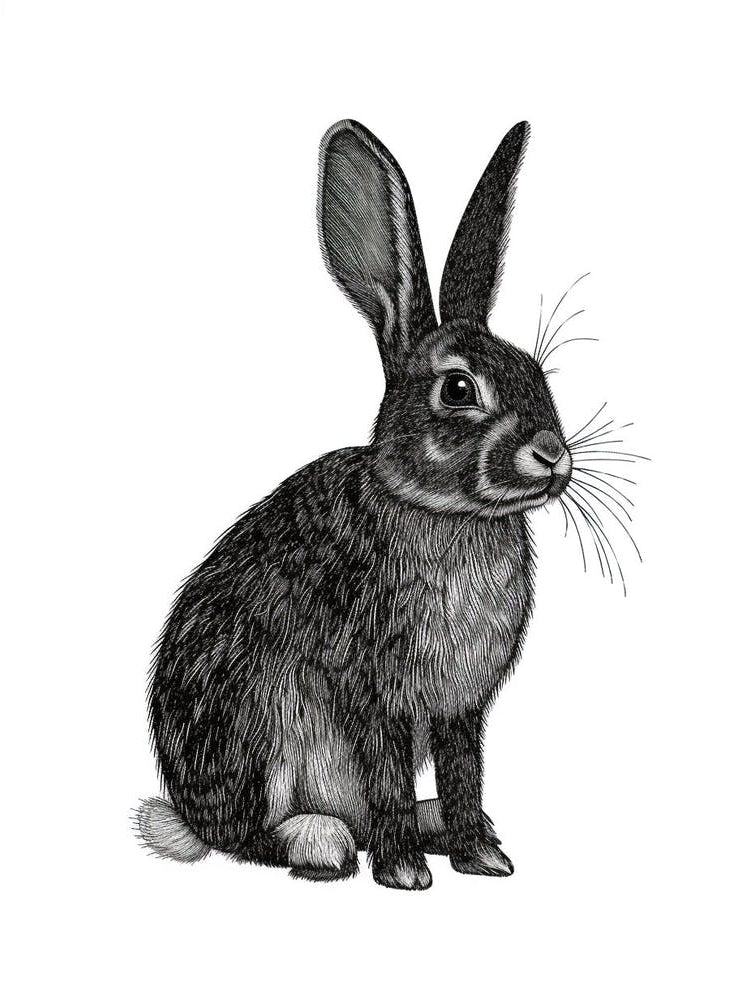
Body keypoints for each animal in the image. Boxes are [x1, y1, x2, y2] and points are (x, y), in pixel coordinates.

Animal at [138, 119, 573, 890]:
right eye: (458, 389)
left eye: (536, 373)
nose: (552, 453)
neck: (445, 513)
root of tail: (186, 815)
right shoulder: (375, 694)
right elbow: (389, 778)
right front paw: (405, 875)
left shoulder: (461, 709)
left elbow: (466, 774)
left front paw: (482, 857)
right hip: (258, 732)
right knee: (255, 835)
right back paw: (322, 840)